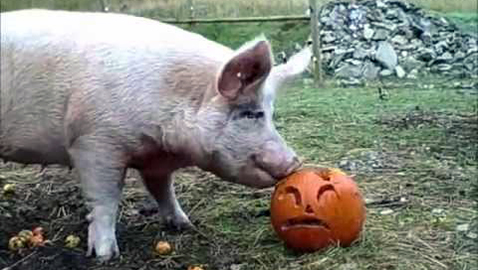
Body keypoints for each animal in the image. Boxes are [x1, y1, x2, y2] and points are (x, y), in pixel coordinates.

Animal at [0, 8, 312, 262]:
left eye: (271, 113)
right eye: (250, 114)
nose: (295, 162)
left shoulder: (155, 161)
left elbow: (163, 190)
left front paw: (185, 224)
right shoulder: (93, 142)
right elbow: (105, 200)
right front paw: (106, 255)